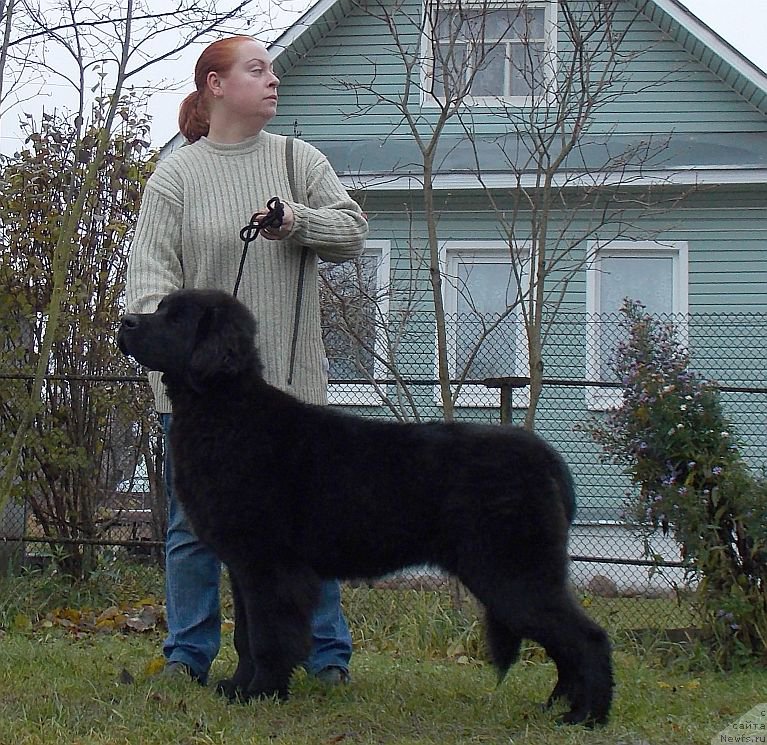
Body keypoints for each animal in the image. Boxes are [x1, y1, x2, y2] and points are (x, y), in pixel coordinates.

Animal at [118, 288, 612, 724]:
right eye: (159, 308)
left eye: (177, 319)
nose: (126, 322)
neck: (223, 409)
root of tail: (544, 456)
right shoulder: (243, 567)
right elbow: (245, 634)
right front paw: (238, 687)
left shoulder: (270, 566)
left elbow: (269, 637)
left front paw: (261, 693)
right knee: (566, 642)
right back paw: (557, 708)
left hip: (512, 573)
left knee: (588, 637)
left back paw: (587, 717)